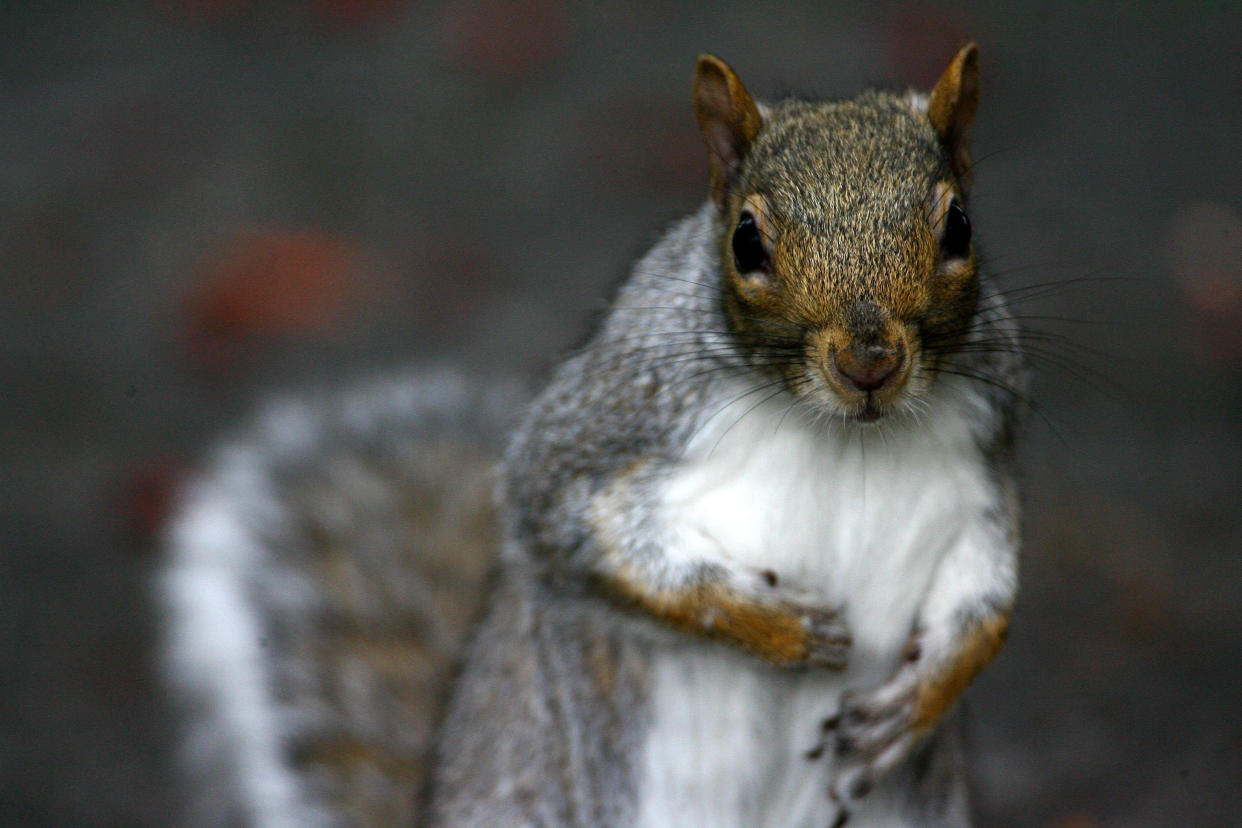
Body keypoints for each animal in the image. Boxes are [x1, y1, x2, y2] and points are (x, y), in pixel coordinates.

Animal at [157, 45, 1028, 828]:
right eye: (746, 242)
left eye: (960, 226)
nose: (868, 362)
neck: (842, 434)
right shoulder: (606, 425)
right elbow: (576, 537)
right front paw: (770, 623)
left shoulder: (984, 460)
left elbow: (988, 598)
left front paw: (921, 700)